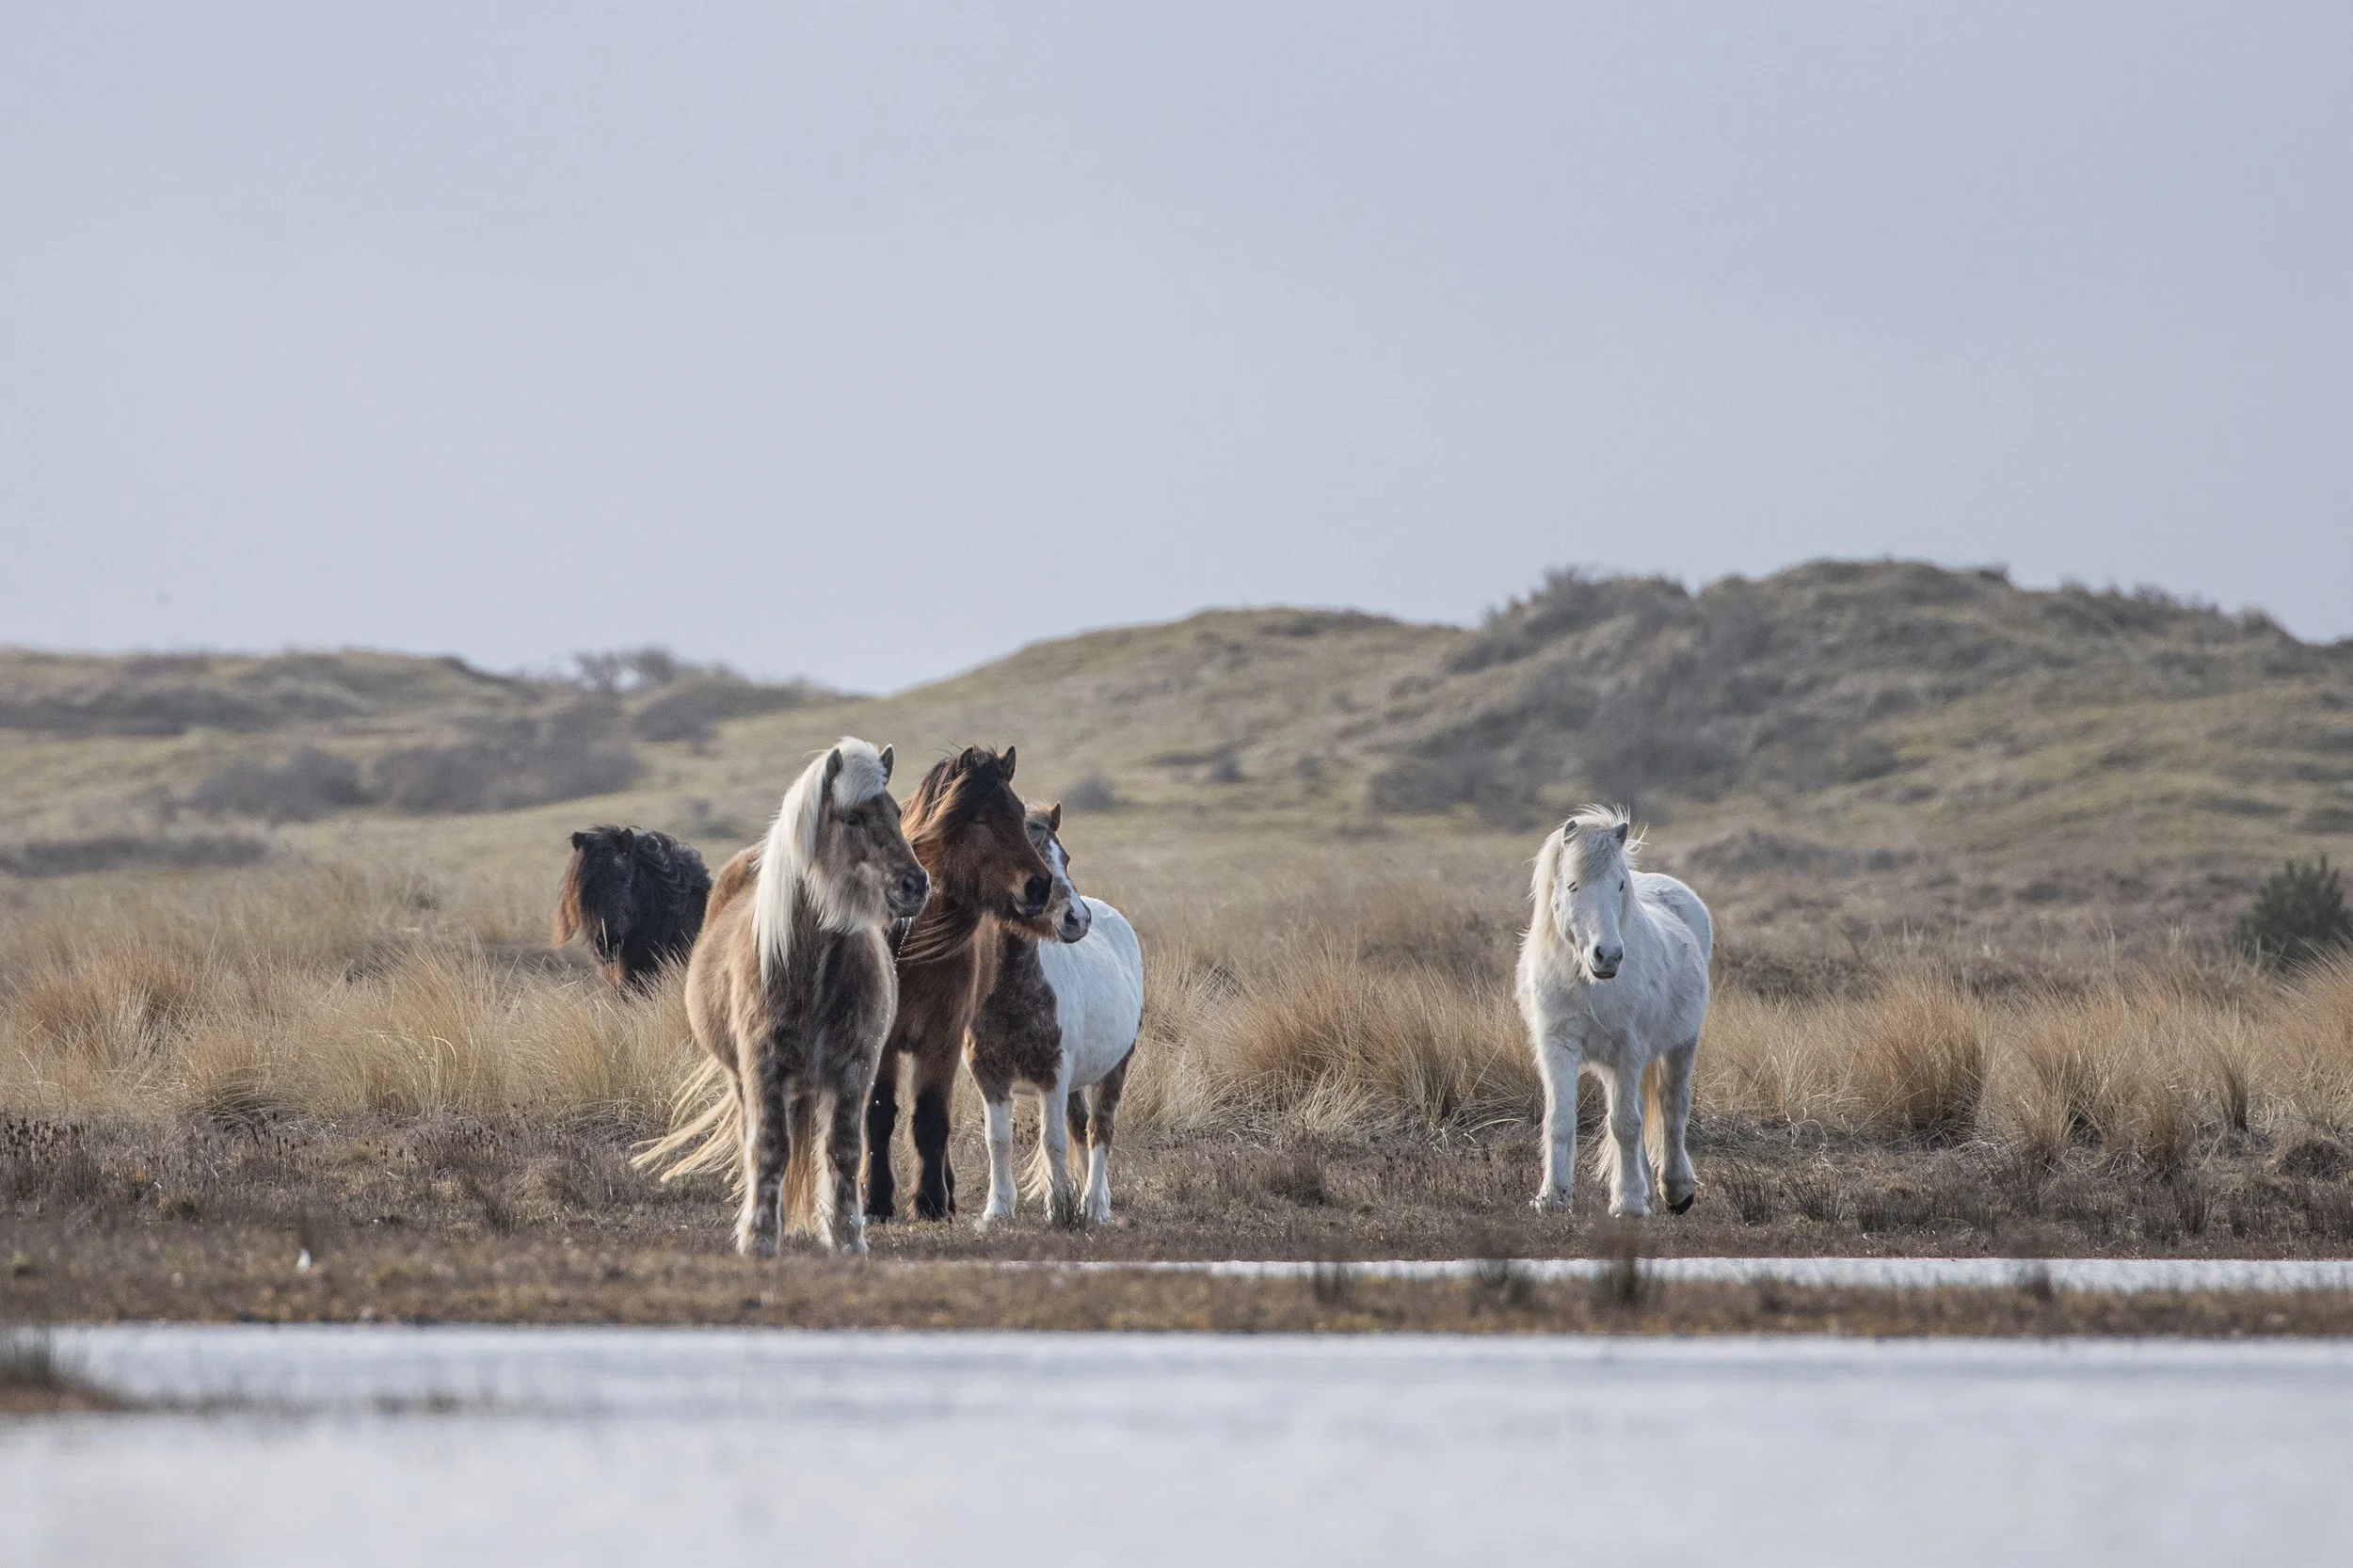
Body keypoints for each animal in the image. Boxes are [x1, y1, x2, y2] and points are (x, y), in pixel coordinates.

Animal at [630, 739, 929, 1257]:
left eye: (895, 812)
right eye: (852, 818)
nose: (916, 884)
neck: (813, 972)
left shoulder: (855, 1069)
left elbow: (844, 1151)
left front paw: (848, 1239)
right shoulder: (762, 1065)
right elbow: (769, 1148)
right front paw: (760, 1238)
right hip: (744, 1079)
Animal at [865, 746, 1064, 1223]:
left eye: (1017, 813)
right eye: (978, 818)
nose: (1039, 885)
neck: (911, 947)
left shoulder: (943, 1038)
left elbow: (932, 1118)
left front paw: (931, 1200)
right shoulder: (882, 1042)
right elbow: (879, 1115)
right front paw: (875, 1199)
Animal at [965, 804, 1145, 1227]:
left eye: (1064, 858)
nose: (1076, 919)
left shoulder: (1053, 1074)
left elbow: (1052, 1141)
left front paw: (1060, 1209)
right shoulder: (989, 1075)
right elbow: (997, 1139)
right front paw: (998, 1208)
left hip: (1114, 1069)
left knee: (1100, 1131)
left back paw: (1094, 1206)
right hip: (1077, 1082)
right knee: (1081, 1128)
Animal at [1517, 805, 1712, 1217]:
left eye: (1620, 885)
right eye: (1572, 885)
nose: (1607, 955)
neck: (1587, 982)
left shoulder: (1628, 1050)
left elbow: (1625, 1124)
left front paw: (1627, 1204)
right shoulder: (1558, 1046)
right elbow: (1561, 1120)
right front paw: (1552, 1197)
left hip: (1681, 1044)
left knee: (1672, 1105)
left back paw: (1675, 1190)